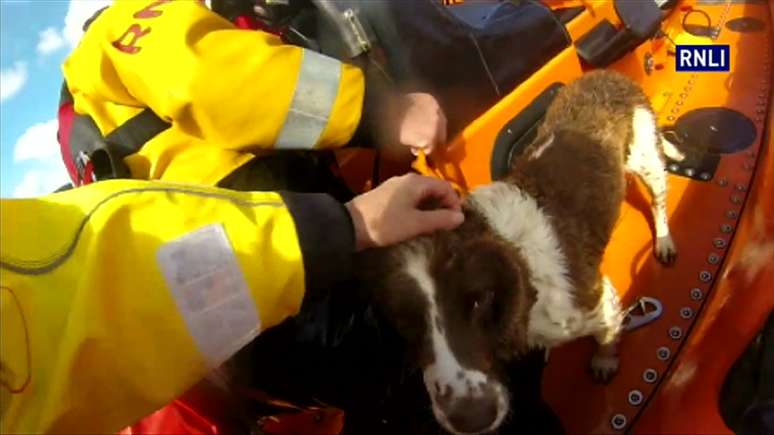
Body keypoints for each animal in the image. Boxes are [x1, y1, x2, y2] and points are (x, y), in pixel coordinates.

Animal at [360, 71, 684, 435]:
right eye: (404, 320)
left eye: (480, 300)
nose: (472, 418)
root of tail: (608, 75)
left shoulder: (598, 300)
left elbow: (608, 335)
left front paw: (604, 361)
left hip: (646, 158)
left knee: (658, 202)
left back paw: (664, 240)